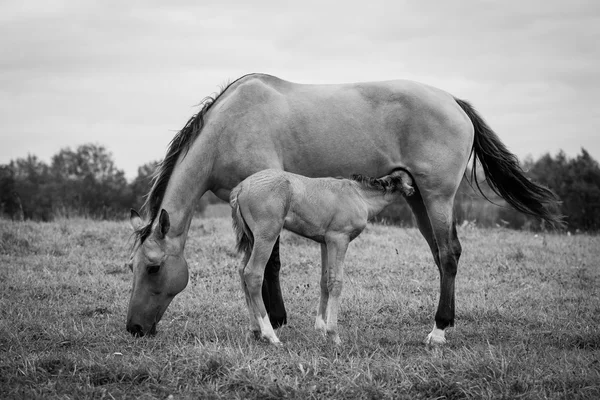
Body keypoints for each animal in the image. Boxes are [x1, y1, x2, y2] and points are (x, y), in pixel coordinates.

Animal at [227, 168, 414, 344]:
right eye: (404, 180)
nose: (411, 190)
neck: (358, 195)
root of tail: (241, 187)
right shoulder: (338, 239)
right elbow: (336, 282)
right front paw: (333, 334)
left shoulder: (325, 242)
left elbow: (325, 281)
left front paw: (320, 328)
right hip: (267, 236)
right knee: (253, 274)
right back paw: (270, 335)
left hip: (252, 239)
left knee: (242, 271)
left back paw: (254, 330)